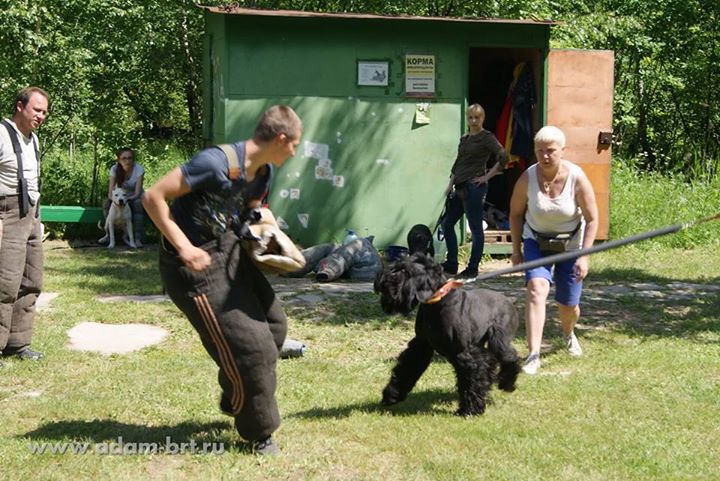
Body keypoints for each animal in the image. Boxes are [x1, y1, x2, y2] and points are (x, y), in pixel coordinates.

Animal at [374, 253, 520, 416]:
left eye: (406, 271)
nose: (383, 278)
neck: (436, 302)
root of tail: (509, 300)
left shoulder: (462, 352)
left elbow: (470, 380)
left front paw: (470, 409)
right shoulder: (421, 346)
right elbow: (407, 368)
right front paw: (392, 395)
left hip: (499, 339)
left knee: (509, 356)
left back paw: (507, 384)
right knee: (490, 361)